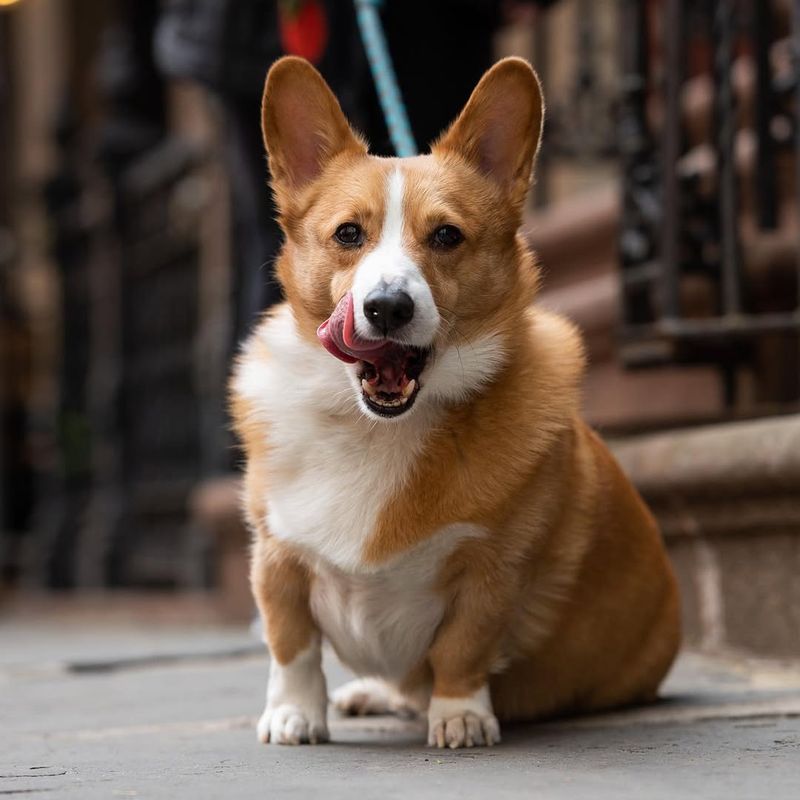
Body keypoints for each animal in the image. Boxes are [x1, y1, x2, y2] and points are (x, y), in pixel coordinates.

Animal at [231, 56, 680, 752]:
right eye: (348, 234)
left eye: (446, 236)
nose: (387, 307)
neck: (376, 428)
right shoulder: (276, 555)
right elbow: (292, 645)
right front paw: (294, 716)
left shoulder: (492, 571)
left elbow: (461, 650)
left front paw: (461, 716)